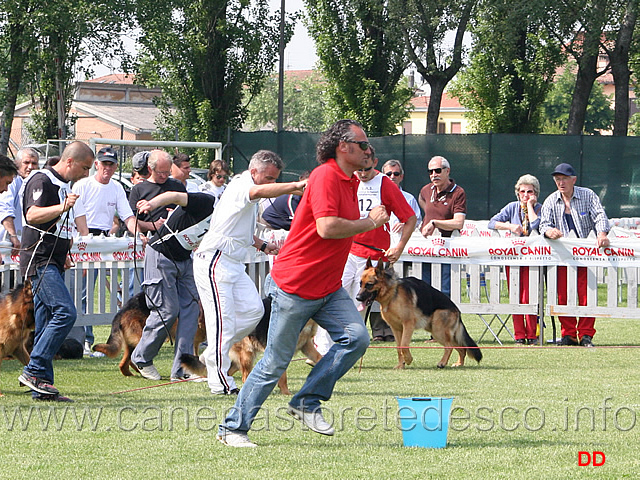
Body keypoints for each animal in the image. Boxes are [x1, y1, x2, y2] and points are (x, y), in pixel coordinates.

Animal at [180, 298, 322, 396]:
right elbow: (283, 376)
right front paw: (286, 393)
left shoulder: (306, 344)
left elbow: (320, 357)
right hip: (247, 355)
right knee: (244, 377)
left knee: (228, 373)